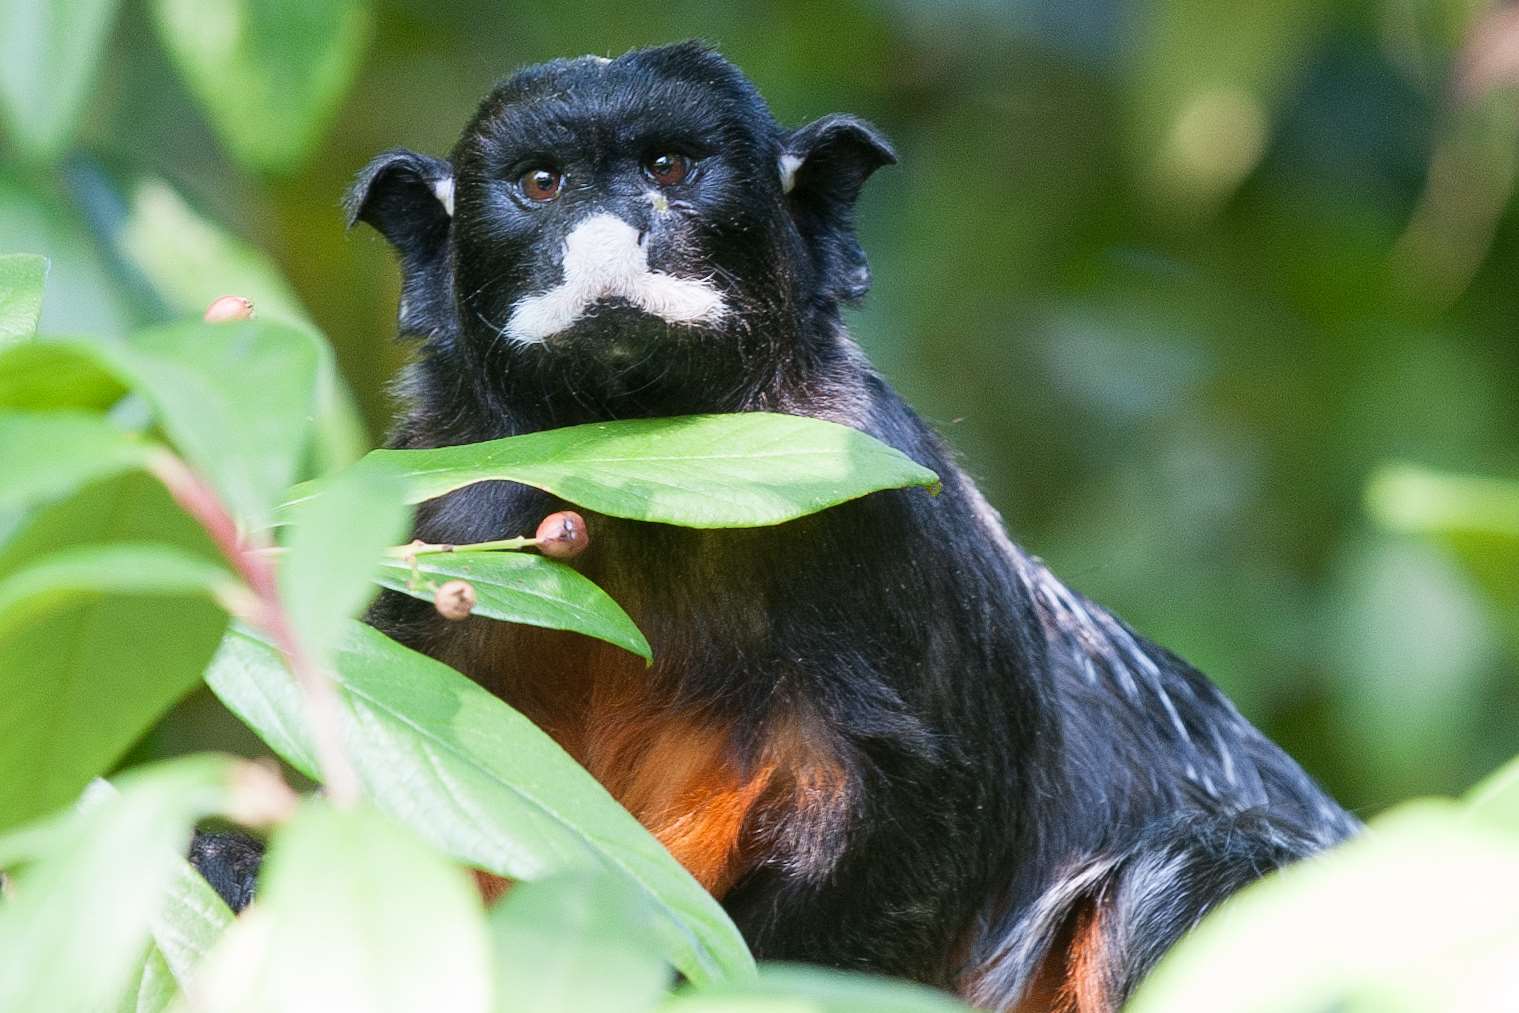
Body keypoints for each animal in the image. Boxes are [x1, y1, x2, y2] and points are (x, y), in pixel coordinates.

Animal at [192, 41, 1367, 1013]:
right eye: (543, 185)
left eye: (669, 169)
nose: (613, 235)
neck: (638, 468)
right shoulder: (433, 513)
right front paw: (238, 865)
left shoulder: (880, 497)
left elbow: (935, 813)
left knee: (1190, 875)